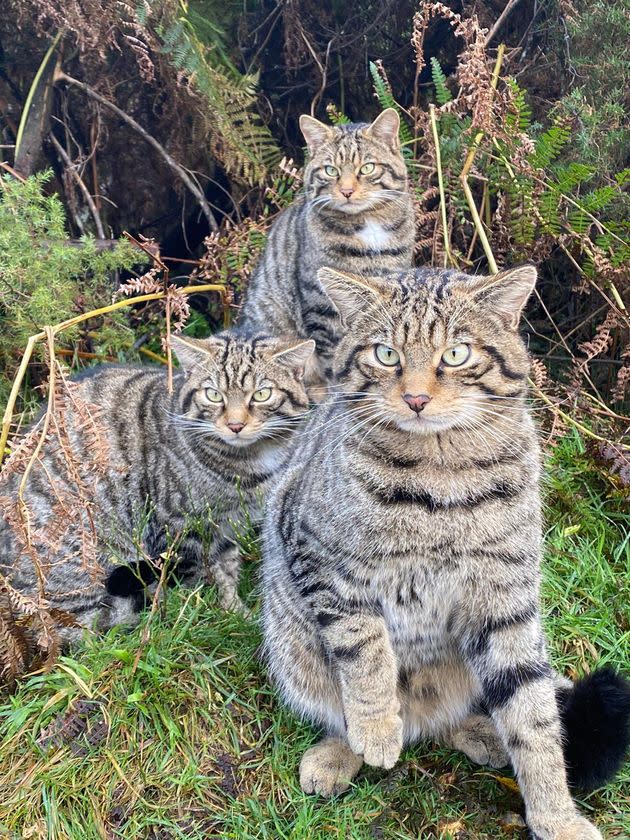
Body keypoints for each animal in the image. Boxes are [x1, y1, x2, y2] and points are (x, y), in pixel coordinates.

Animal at [0, 332, 316, 640]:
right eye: (213, 395)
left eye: (262, 394)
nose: (235, 425)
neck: (249, 462)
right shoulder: (180, 528)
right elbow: (199, 581)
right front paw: (214, 615)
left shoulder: (227, 525)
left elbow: (226, 571)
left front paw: (236, 612)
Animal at [239, 106, 418, 388]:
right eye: (331, 170)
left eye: (367, 168)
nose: (346, 191)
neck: (368, 225)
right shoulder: (321, 305)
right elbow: (334, 357)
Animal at [262, 266, 630, 840]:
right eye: (386, 354)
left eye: (455, 354)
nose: (415, 398)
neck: (441, 476)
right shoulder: (319, 557)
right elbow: (364, 649)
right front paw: (376, 726)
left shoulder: (506, 601)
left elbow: (533, 717)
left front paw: (557, 817)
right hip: (291, 645)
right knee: (350, 703)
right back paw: (347, 750)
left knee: (480, 711)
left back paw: (481, 732)